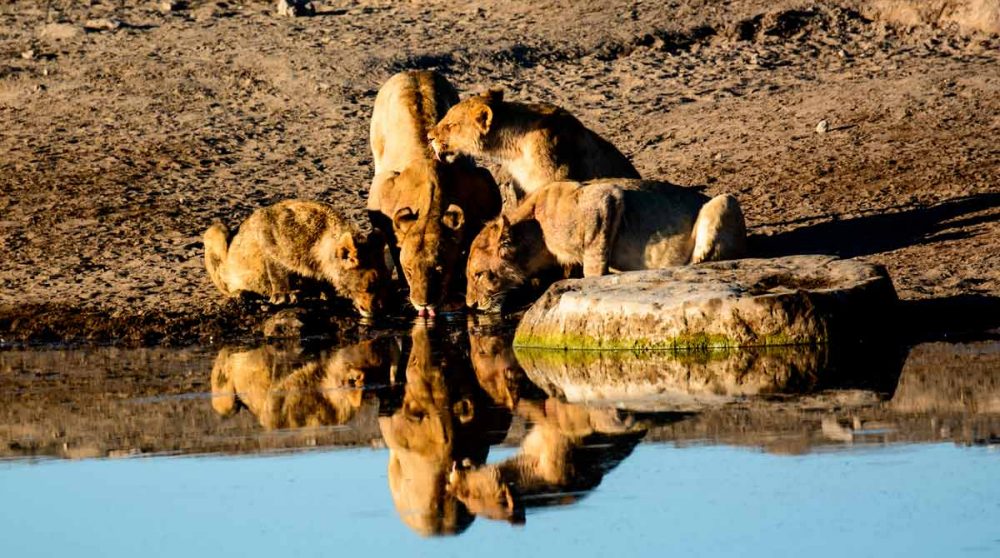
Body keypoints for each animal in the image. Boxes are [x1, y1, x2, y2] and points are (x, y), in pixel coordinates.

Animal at [203, 200, 390, 317]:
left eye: (386, 282)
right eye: (370, 284)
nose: (378, 309)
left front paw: (324, 293)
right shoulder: (266, 227)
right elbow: (277, 269)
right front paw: (284, 296)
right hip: (215, 230)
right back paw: (240, 293)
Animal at [368, 71, 501, 317]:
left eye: (439, 269)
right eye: (409, 270)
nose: (423, 304)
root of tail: (413, 71)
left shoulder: (483, 184)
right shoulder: (381, 194)